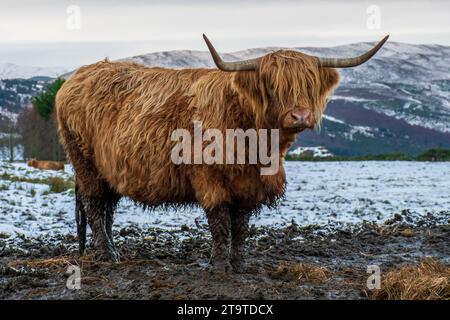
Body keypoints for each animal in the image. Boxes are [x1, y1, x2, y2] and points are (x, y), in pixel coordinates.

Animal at [55, 33, 386, 272]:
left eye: (309, 83)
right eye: (272, 85)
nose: (300, 115)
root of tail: (75, 78)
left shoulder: (248, 185)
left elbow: (240, 225)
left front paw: (239, 264)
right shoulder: (209, 178)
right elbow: (219, 222)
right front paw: (218, 265)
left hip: (109, 170)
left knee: (107, 208)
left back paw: (113, 250)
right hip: (85, 164)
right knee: (94, 206)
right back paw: (106, 255)